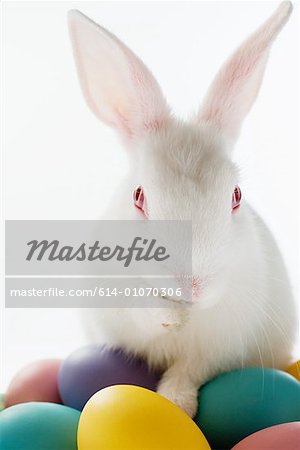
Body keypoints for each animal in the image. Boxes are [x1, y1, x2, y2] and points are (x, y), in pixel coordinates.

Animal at [68, 0, 298, 418]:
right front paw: (171, 317)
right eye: (138, 196)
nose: (192, 286)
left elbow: (190, 370)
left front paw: (175, 403)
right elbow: (141, 309)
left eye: (235, 195)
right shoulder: (115, 302)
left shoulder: (219, 345)